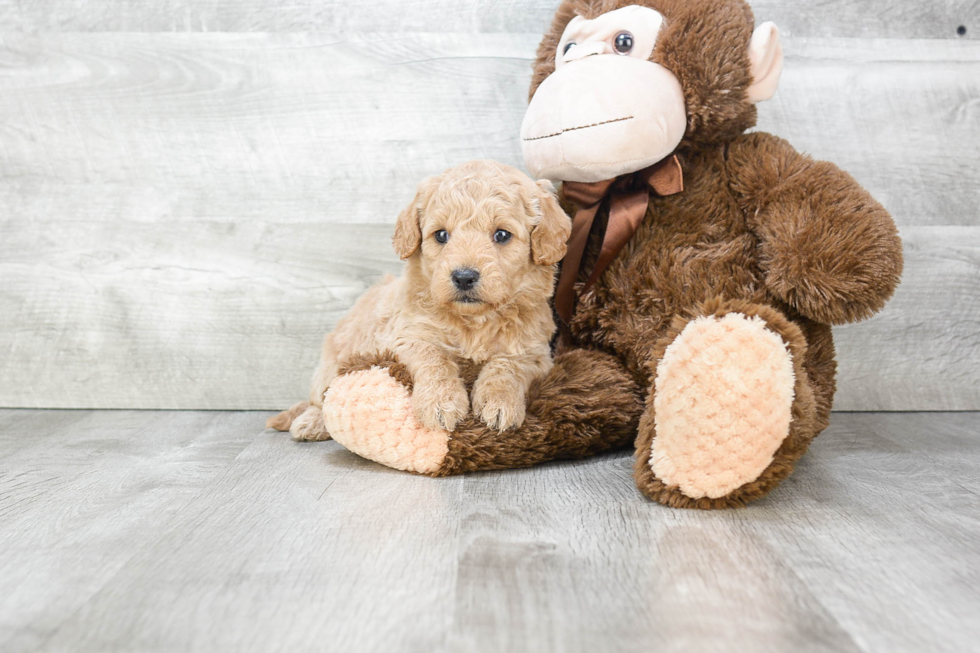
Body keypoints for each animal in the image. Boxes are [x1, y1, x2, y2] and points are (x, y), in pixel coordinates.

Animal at [270, 160, 576, 440]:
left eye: (502, 235)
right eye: (441, 235)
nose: (464, 277)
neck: (474, 322)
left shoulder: (535, 351)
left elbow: (508, 366)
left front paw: (500, 402)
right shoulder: (407, 335)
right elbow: (434, 358)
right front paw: (441, 402)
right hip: (329, 365)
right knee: (320, 399)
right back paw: (311, 422)